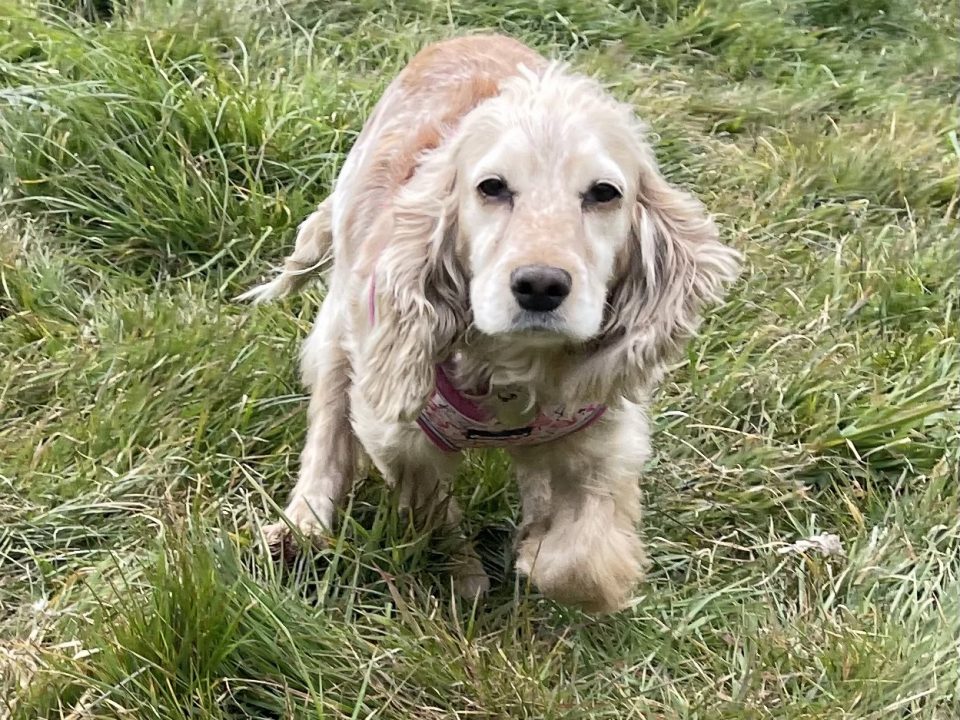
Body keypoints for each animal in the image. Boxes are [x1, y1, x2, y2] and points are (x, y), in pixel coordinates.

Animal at [242, 35, 744, 612]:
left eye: (604, 193)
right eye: (492, 187)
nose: (541, 286)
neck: (512, 371)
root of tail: (465, 35)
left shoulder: (604, 435)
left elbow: (584, 559)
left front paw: (541, 550)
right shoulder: (396, 427)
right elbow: (433, 507)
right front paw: (465, 576)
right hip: (339, 327)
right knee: (327, 430)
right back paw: (299, 529)